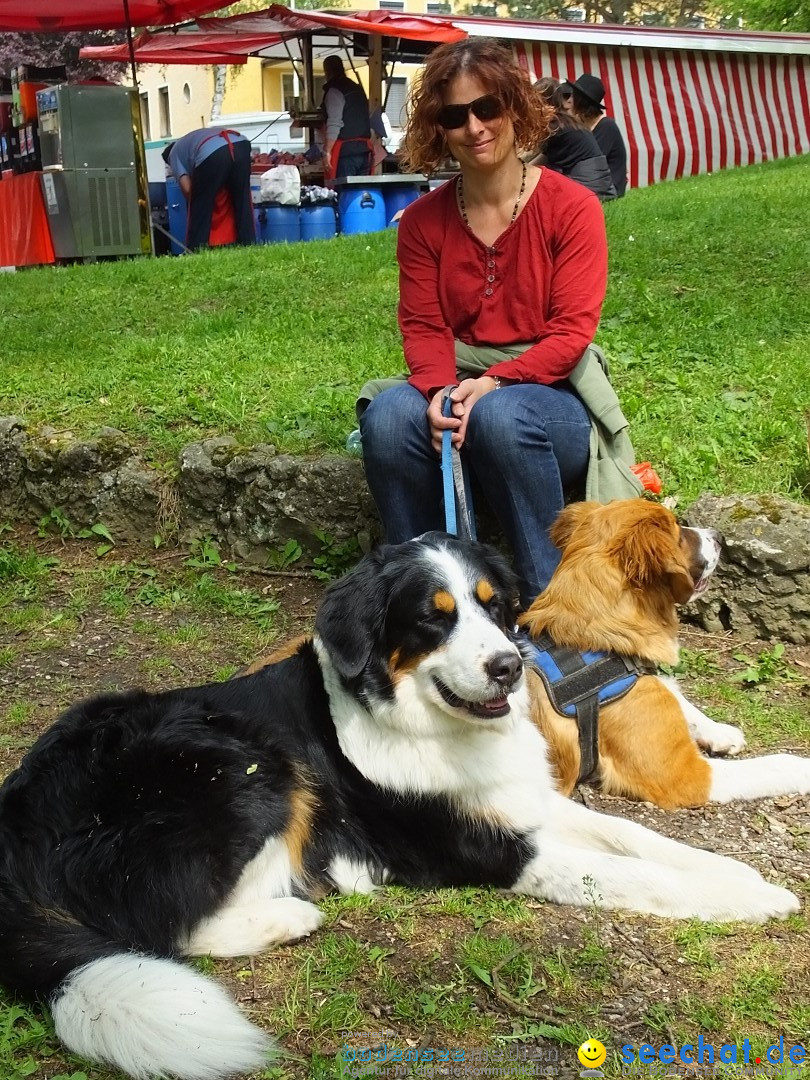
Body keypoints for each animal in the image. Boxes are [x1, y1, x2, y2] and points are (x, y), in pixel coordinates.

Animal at [522, 505, 807, 812]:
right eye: (678, 533)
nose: (720, 536)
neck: (597, 642)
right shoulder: (682, 775)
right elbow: (773, 764)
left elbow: (681, 699)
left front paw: (719, 730)